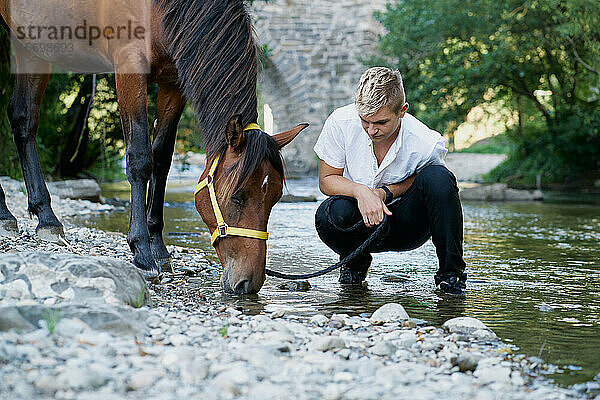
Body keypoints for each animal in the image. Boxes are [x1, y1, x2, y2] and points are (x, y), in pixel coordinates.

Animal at [0, 0, 308, 294]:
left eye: (275, 198)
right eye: (237, 197)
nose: (248, 283)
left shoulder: (173, 81)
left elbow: (161, 159)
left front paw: (158, 248)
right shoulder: (129, 67)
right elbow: (140, 158)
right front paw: (143, 254)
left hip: (31, 47)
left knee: (23, 119)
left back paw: (46, 218)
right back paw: (6, 214)